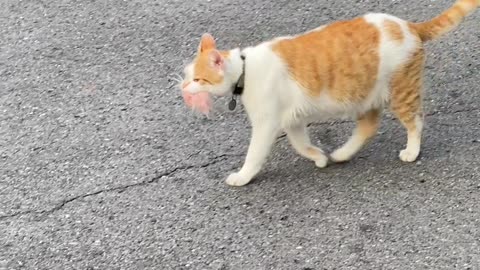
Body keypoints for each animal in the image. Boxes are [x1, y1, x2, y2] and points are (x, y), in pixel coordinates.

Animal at [181, 0, 480, 186]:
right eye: (186, 74)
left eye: (198, 78)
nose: (182, 87)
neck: (245, 69)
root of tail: (408, 25)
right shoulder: (292, 120)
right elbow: (300, 144)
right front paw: (318, 157)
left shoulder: (267, 123)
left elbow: (254, 154)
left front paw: (242, 176)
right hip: (365, 93)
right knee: (368, 126)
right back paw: (342, 154)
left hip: (399, 90)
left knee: (414, 121)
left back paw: (411, 151)